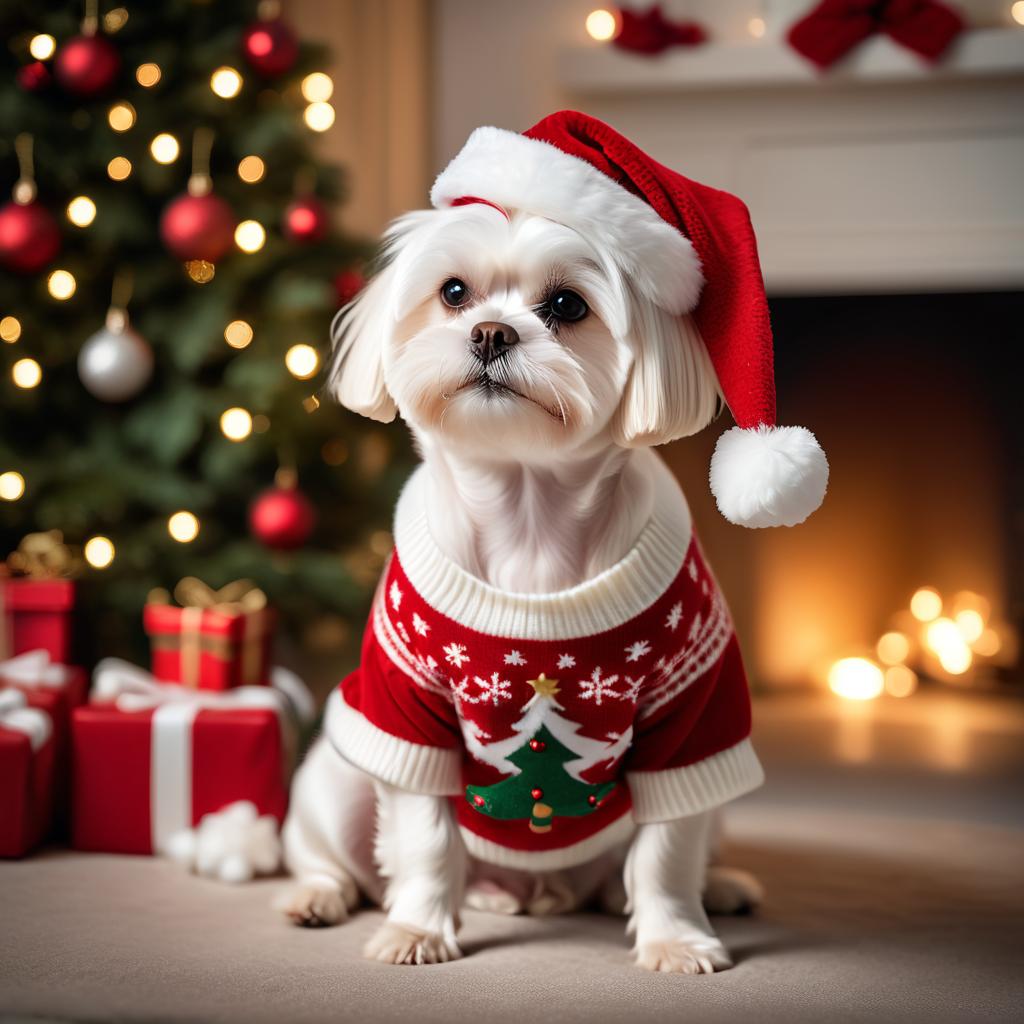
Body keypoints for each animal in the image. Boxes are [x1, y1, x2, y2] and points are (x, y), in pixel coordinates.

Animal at [276, 112, 827, 974]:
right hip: (338, 777)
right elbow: (425, 840)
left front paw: (675, 937)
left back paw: (716, 884)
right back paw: (321, 896)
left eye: (567, 305)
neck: (526, 513)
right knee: (331, 855)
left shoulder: (693, 714)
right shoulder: (408, 709)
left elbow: (665, 853)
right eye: (454, 292)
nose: (490, 332)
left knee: (667, 850)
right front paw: (417, 929)